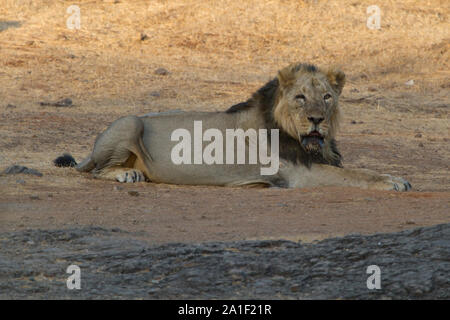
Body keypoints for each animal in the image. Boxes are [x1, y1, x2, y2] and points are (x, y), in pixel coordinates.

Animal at [53, 63, 412, 191]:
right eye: (300, 97)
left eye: (326, 97)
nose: (316, 120)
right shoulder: (301, 173)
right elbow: (359, 175)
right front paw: (394, 181)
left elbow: (359, 170)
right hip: (128, 122)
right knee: (96, 171)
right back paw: (127, 174)